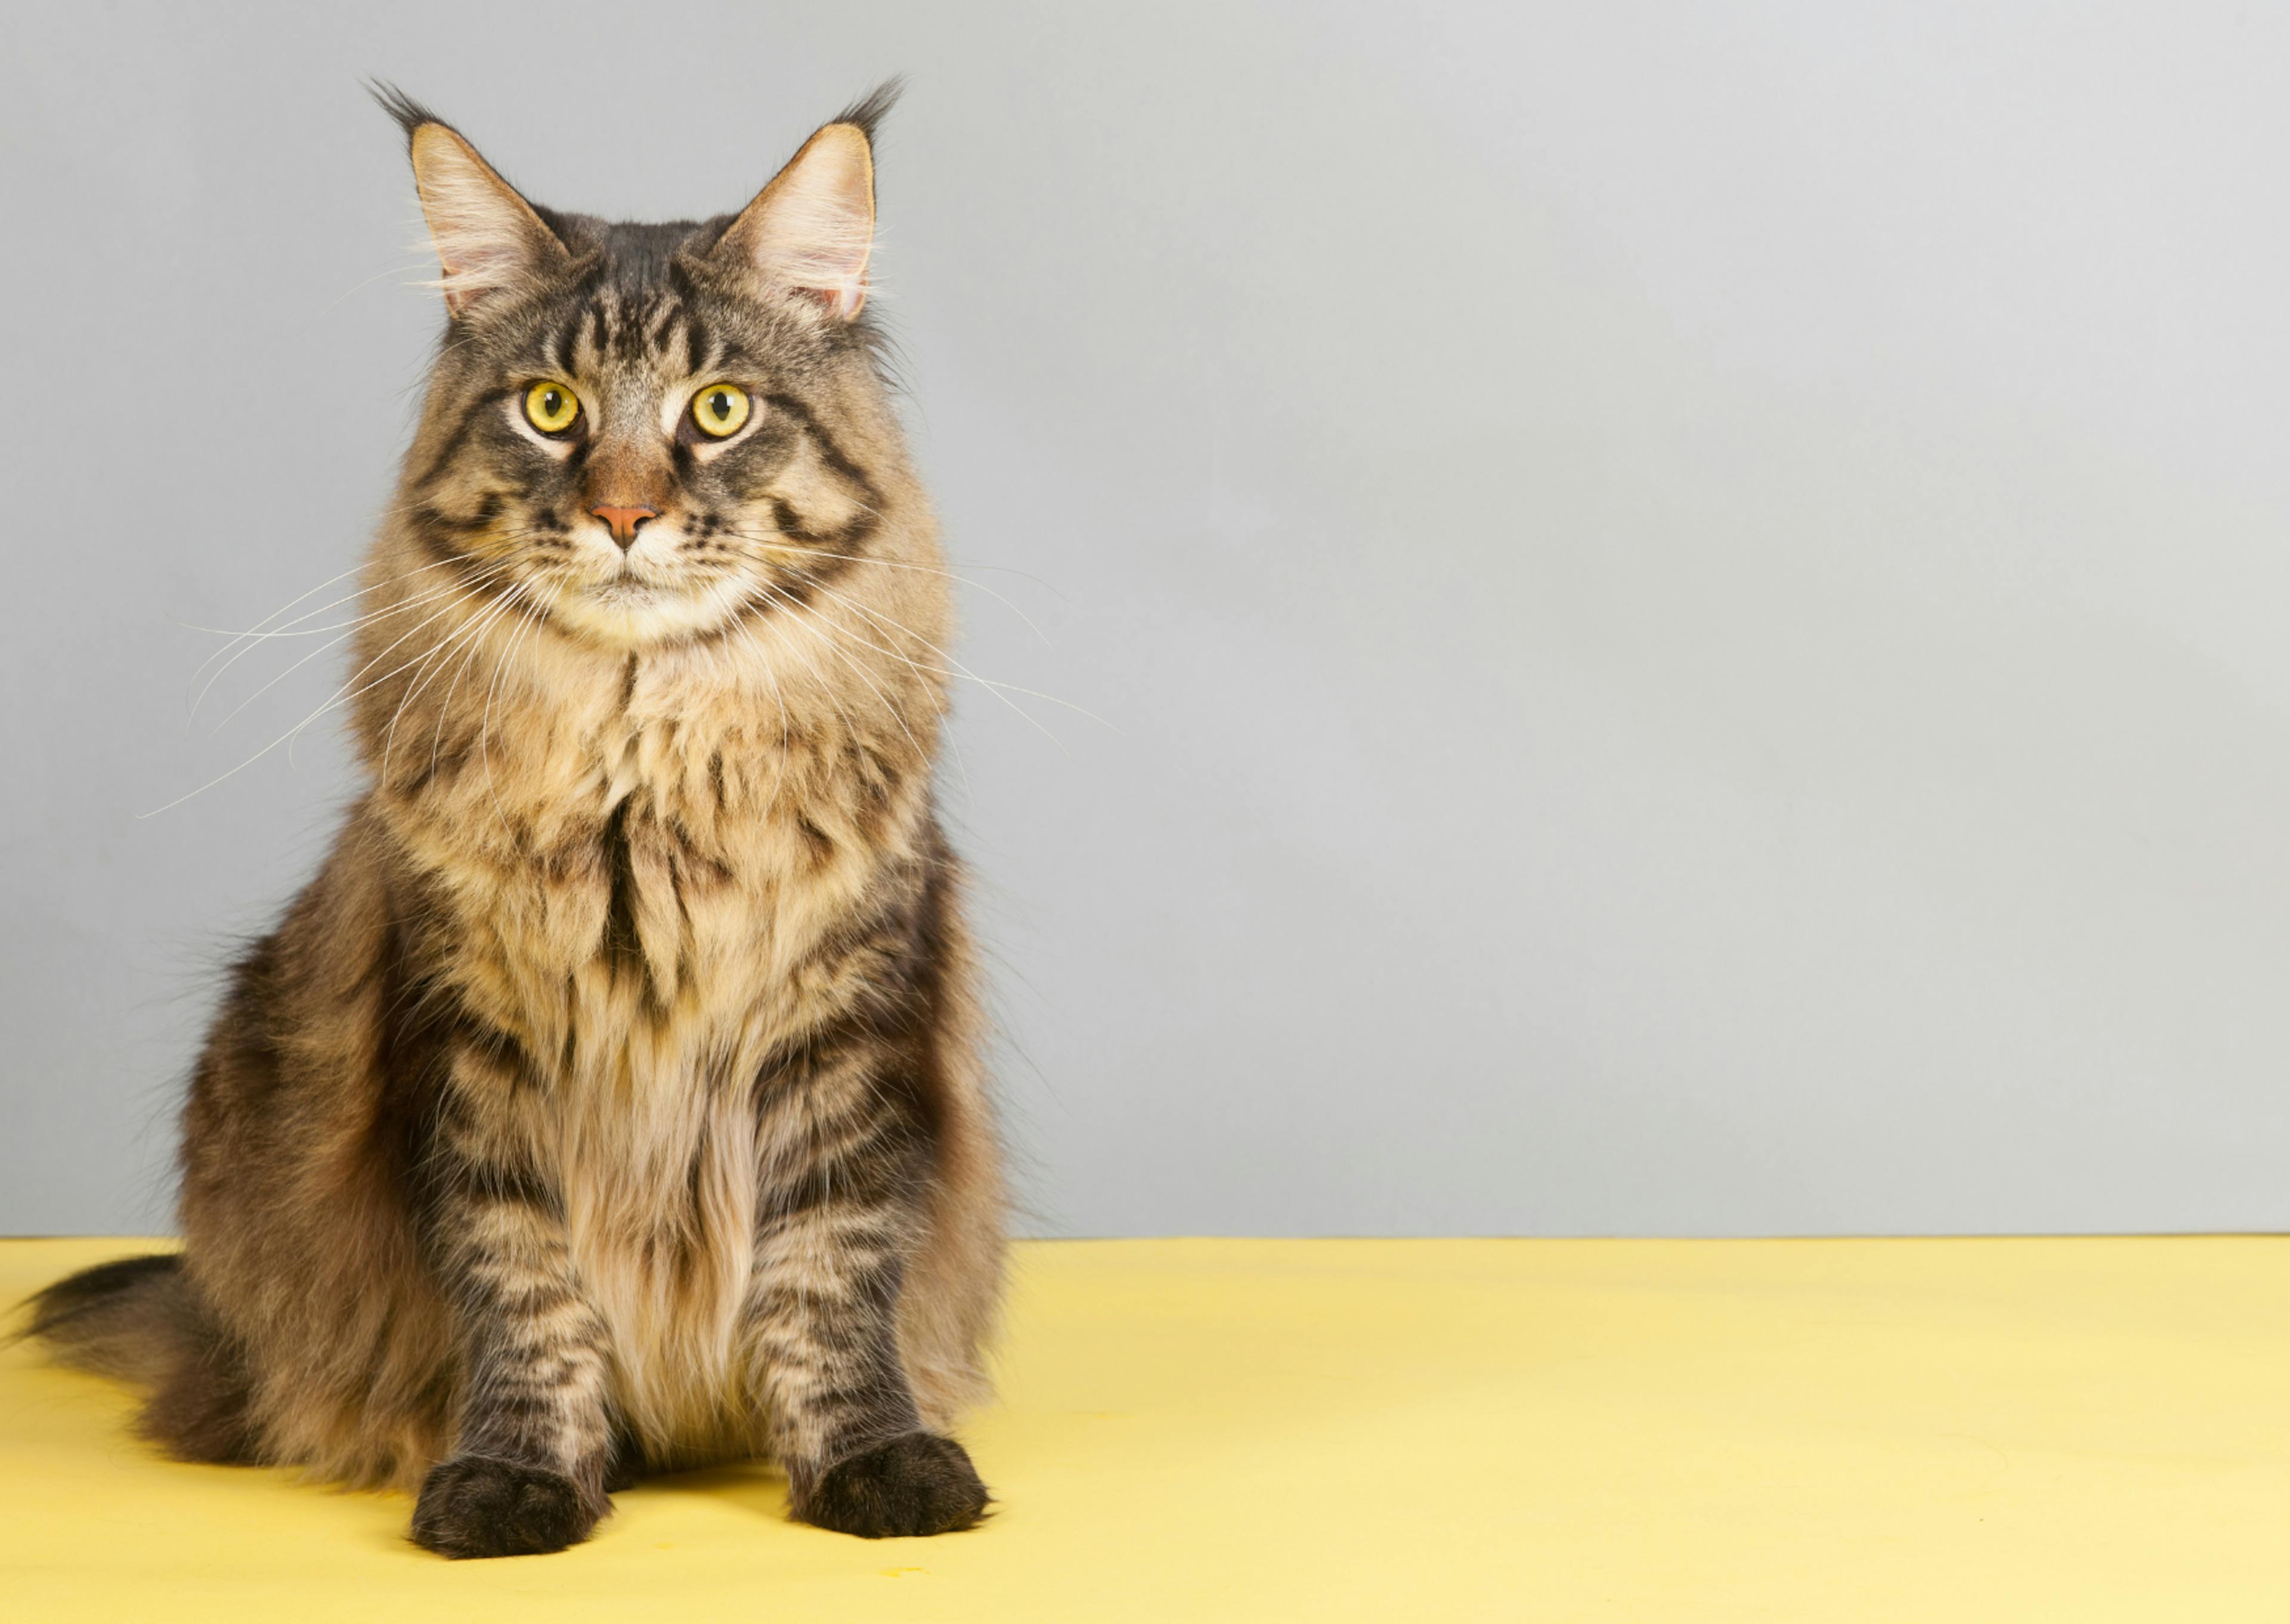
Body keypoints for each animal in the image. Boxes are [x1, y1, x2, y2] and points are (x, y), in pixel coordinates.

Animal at [18, 85, 1002, 1557]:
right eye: (552, 407)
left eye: (719, 410)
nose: (624, 512)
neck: (644, 788)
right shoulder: (473, 1051)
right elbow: (527, 1296)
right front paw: (518, 1479)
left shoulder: (847, 1032)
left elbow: (830, 1280)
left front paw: (879, 1465)